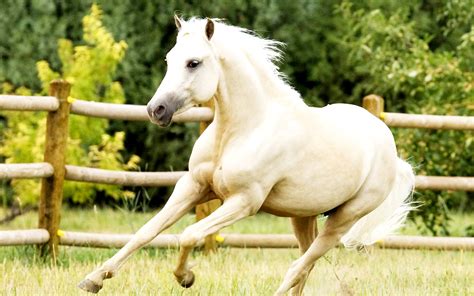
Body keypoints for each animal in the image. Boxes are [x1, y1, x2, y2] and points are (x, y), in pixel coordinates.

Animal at [78, 17, 414, 294]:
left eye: (194, 63)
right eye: (169, 59)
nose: (156, 110)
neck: (242, 130)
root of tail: (390, 150)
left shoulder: (243, 201)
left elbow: (189, 234)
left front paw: (186, 277)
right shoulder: (193, 186)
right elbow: (146, 231)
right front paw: (93, 280)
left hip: (343, 219)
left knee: (298, 266)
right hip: (302, 216)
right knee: (305, 265)